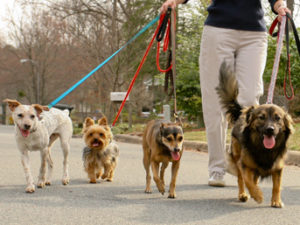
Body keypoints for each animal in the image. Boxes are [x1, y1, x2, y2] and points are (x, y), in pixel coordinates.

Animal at [217, 61, 294, 207]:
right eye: (261, 117)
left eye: (278, 118)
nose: (270, 129)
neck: (264, 149)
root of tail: (241, 113)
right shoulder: (244, 163)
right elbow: (247, 180)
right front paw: (257, 195)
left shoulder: (278, 166)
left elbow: (277, 186)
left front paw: (276, 201)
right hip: (237, 155)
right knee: (241, 179)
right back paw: (243, 194)